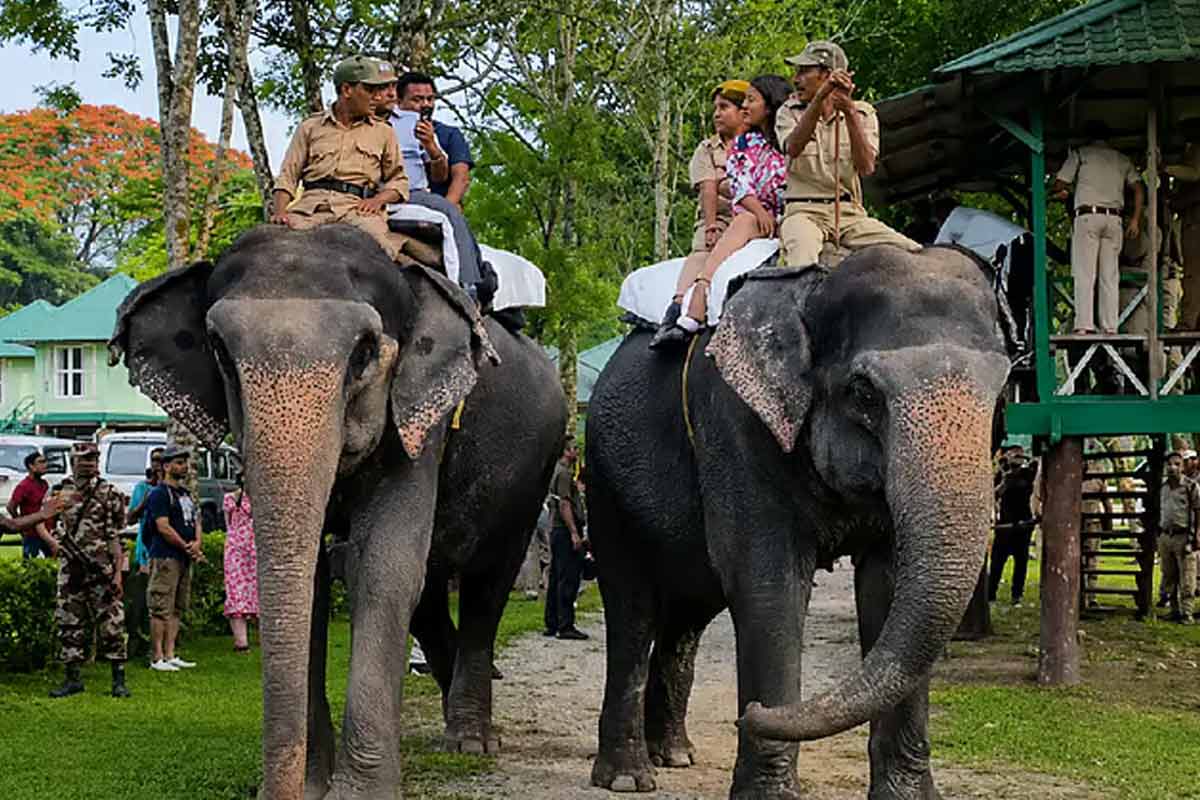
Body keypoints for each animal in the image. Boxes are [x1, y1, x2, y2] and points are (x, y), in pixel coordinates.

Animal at [109, 224, 567, 800]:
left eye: (364, 352)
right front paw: (311, 785)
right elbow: (313, 576)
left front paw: (358, 793)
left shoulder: (420, 425)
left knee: (489, 583)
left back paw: (470, 741)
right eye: (219, 351)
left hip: (534, 472)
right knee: (432, 592)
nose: (273, 793)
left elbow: (384, 567)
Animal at [585, 245, 1010, 799]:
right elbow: (769, 586)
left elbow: (890, 587)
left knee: (687, 615)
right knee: (632, 608)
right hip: (603, 480)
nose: (748, 713)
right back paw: (627, 777)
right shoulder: (736, 428)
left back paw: (675, 755)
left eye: (1001, 393)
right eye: (863, 393)